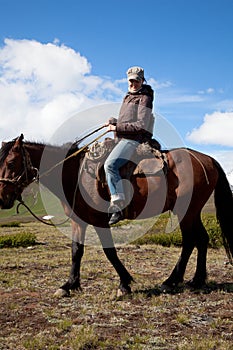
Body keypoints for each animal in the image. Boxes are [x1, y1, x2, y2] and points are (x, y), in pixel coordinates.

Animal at [0, 133, 232, 296]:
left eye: (10, 163)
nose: (2, 198)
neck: (74, 174)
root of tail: (208, 159)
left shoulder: (100, 220)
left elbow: (109, 251)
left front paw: (125, 283)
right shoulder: (78, 221)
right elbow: (76, 251)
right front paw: (69, 285)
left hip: (186, 211)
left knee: (190, 241)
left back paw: (170, 281)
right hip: (193, 211)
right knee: (202, 239)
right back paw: (197, 280)